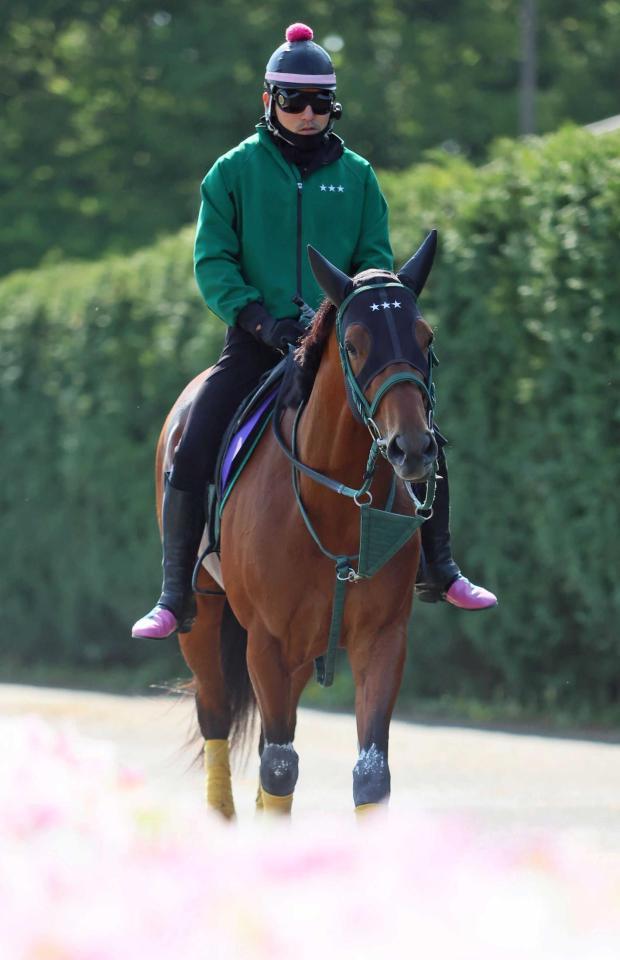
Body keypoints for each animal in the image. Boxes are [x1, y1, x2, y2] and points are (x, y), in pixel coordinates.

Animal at [159, 232, 440, 816]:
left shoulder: (382, 638)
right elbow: (279, 767)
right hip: (207, 623)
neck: (336, 503)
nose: (413, 448)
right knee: (217, 716)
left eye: (425, 337)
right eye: (353, 344)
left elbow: (370, 774)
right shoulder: (267, 642)